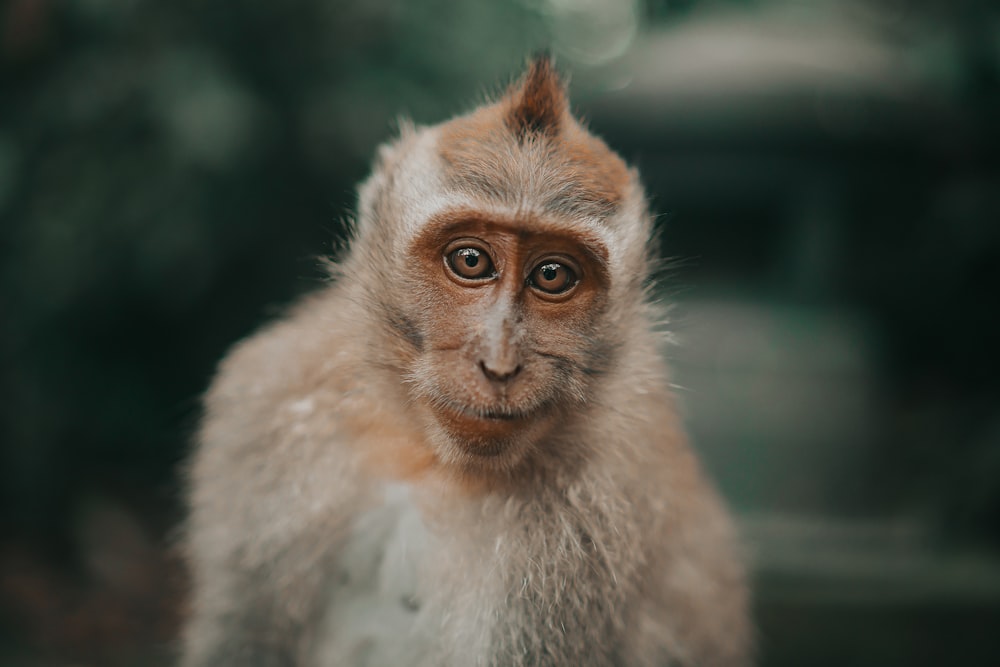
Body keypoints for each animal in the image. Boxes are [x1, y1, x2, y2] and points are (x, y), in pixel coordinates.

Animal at [180, 58, 752, 667]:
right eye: (472, 260)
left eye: (552, 275)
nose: (498, 364)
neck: (428, 460)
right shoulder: (270, 404)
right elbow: (241, 634)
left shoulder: (592, 523)